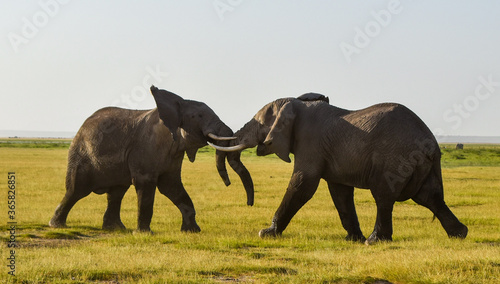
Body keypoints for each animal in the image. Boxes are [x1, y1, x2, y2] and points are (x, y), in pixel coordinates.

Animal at [48, 85, 254, 232]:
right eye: (200, 116)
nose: (249, 204)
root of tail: (82, 126)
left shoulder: (173, 152)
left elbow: (171, 186)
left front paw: (193, 231)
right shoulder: (147, 146)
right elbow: (146, 183)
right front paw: (144, 233)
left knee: (116, 192)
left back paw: (116, 229)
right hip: (81, 154)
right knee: (76, 190)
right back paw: (57, 225)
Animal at [211, 93, 468, 244]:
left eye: (259, 124)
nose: (249, 204)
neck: (296, 102)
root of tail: (431, 143)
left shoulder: (310, 142)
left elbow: (304, 183)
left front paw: (267, 233)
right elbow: (340, 191)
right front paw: (352, 239)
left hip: (396, 158)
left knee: (384, 196)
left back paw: (375, 241)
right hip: (422, 165)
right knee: (430, 197)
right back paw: (459, 234)